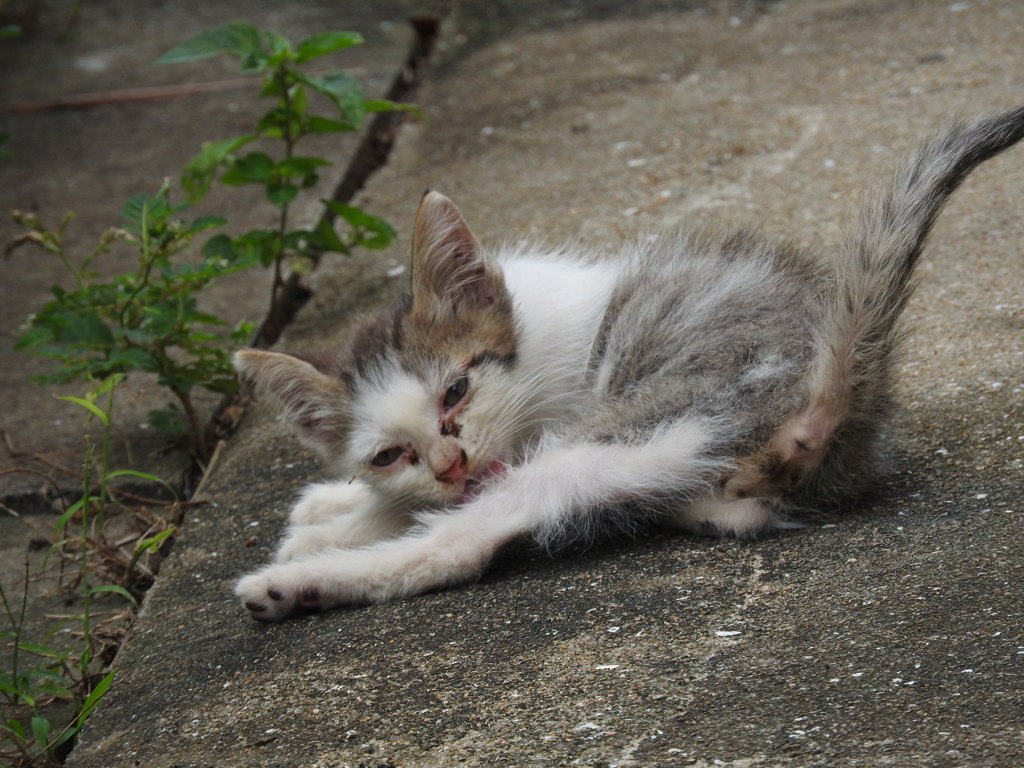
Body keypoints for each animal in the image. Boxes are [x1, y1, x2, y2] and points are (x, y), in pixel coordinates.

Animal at [234, 103, 1024, 618]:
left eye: (456, 391)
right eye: (388, 453)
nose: (450, 463)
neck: (533, 340)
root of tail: (850, 398)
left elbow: (456, 507)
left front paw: (328, 530)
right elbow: (406, 497)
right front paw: (334, 505)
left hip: (631, 423)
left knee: (463, 546)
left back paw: (293, 585)